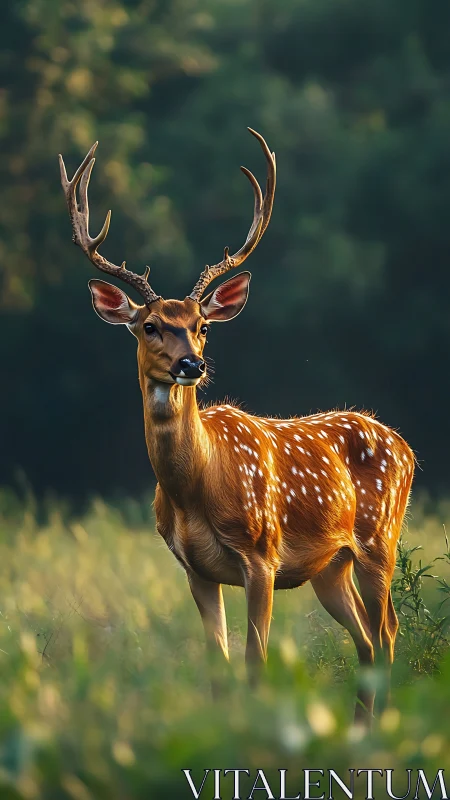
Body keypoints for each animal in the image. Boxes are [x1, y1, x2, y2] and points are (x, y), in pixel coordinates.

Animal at [59, 129, 414, 723]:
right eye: (150, 325)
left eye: (202, 325)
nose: (191, 364)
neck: (197, 488)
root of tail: (406, 447)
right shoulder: (195, 568)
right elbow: (218, 669)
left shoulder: (262, 554)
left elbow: (255, 664)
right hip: (330, 566)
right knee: (367, 641)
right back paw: (362, 728)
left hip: (378, 537)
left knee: (387, 633)